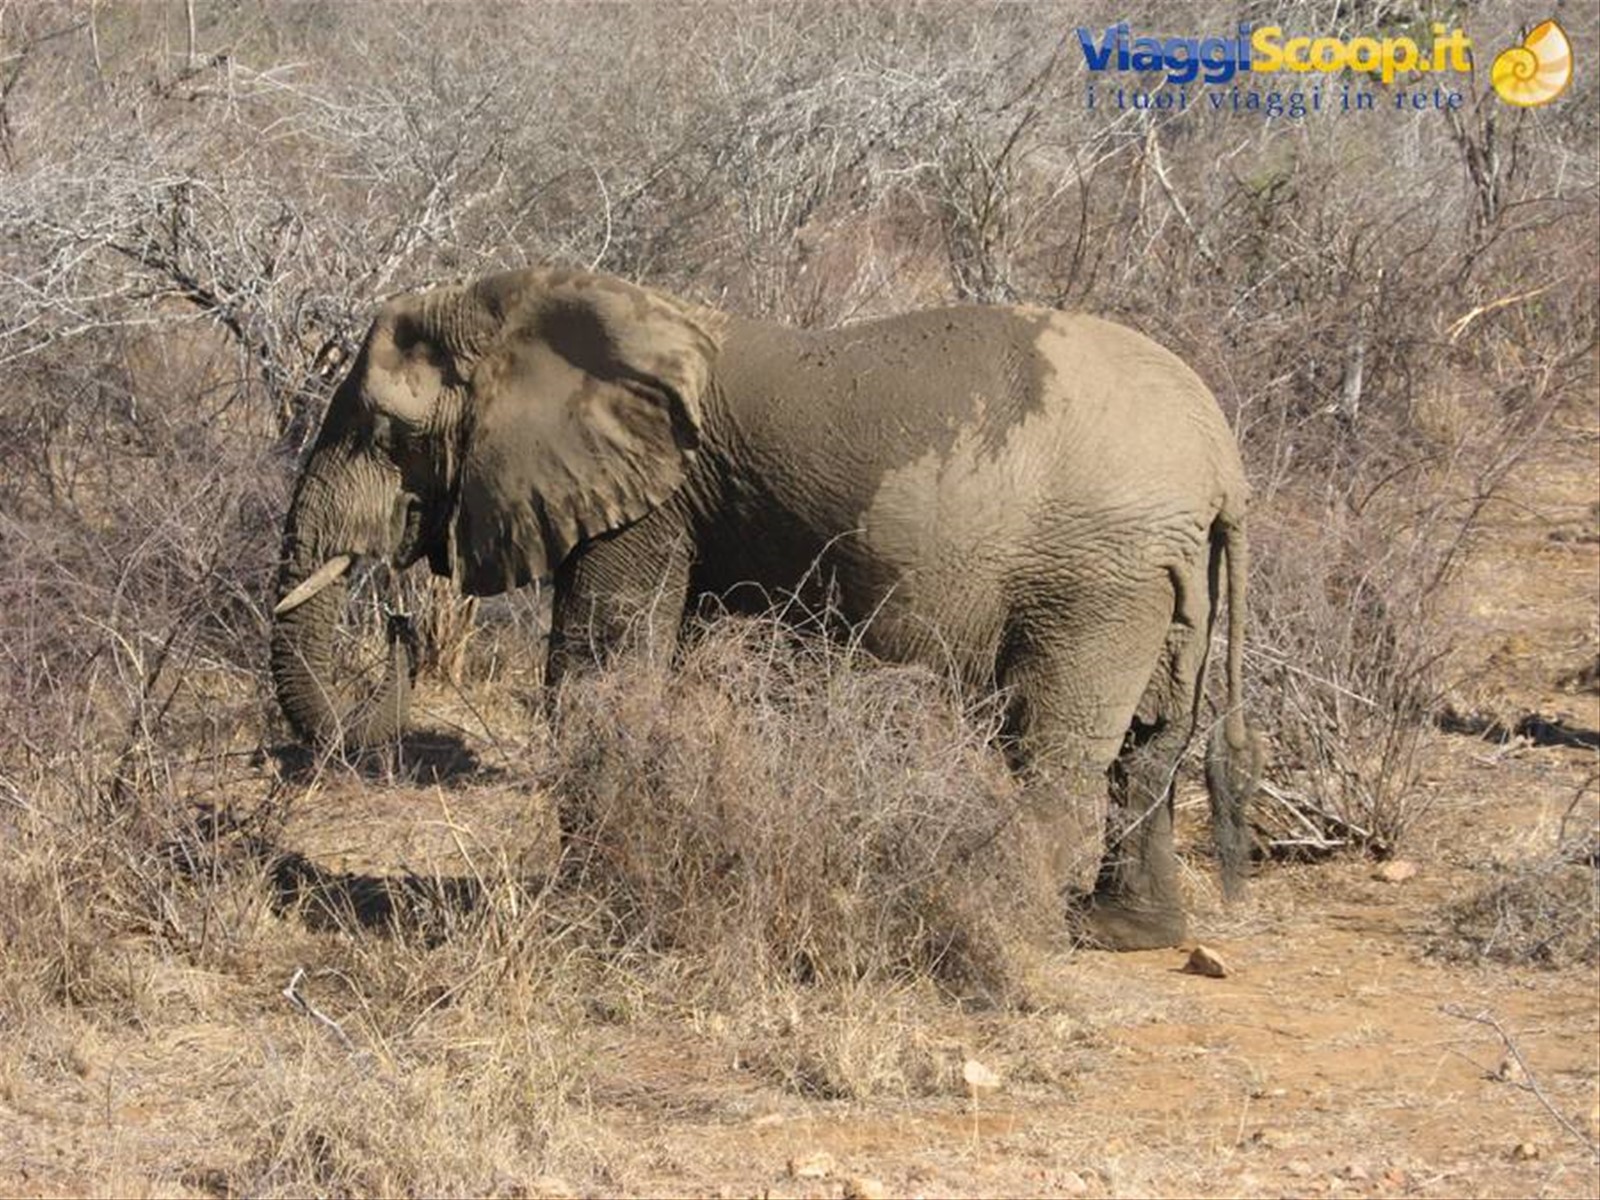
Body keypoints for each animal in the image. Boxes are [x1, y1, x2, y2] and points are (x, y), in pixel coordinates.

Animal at [270, 266, 1260, 950]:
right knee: (1151, 744)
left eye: (388, 435)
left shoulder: (656, 505)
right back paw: (1125, 937)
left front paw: (586, 902)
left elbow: (598, 673)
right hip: (1160, 577)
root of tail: (1222, 462)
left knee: (1049, 745)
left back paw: (1006, 927)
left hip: (1094, 575)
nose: (397, 621)